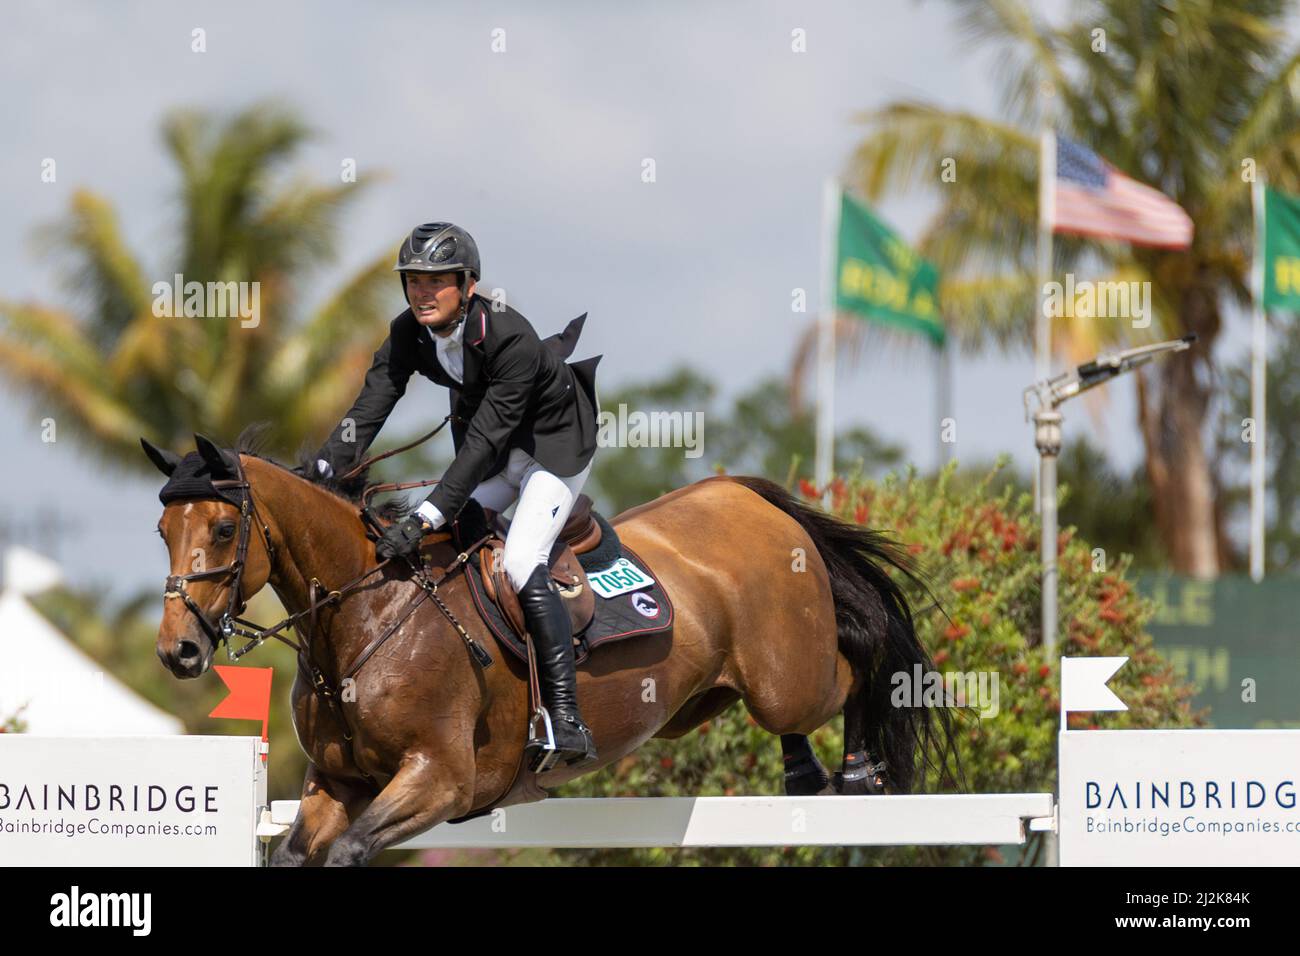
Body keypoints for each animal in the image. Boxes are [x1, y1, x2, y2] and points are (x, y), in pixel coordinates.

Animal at [144, 434, 956, 868]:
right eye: (162, 531)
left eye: (223, 529)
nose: (178, 651)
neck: (367, 616)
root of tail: (749, 497)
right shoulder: (337, 785)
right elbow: (294, 852)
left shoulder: (441, 781)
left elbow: (352, 850)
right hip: (705, 700)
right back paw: (804, 772)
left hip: (788, 677)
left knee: (857, 660)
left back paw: (859, 771)